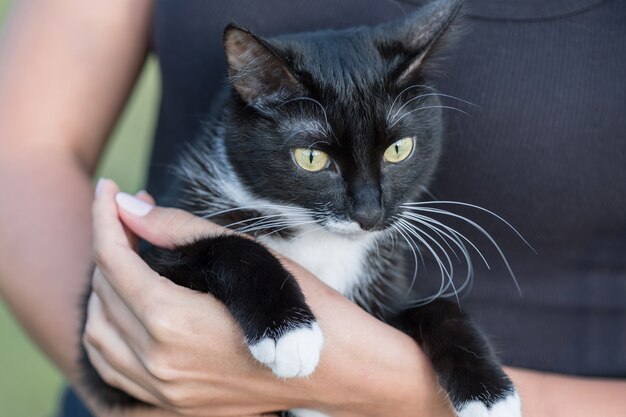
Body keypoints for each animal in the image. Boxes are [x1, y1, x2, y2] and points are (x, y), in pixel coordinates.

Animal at [83, 1, 520, 414]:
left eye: (399, 149)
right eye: (311, 158)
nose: (369, 214)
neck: (318, 238)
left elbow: (439, 307)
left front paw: (490, 394)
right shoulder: (119, 305)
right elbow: (228, 246)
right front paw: (288, 333)